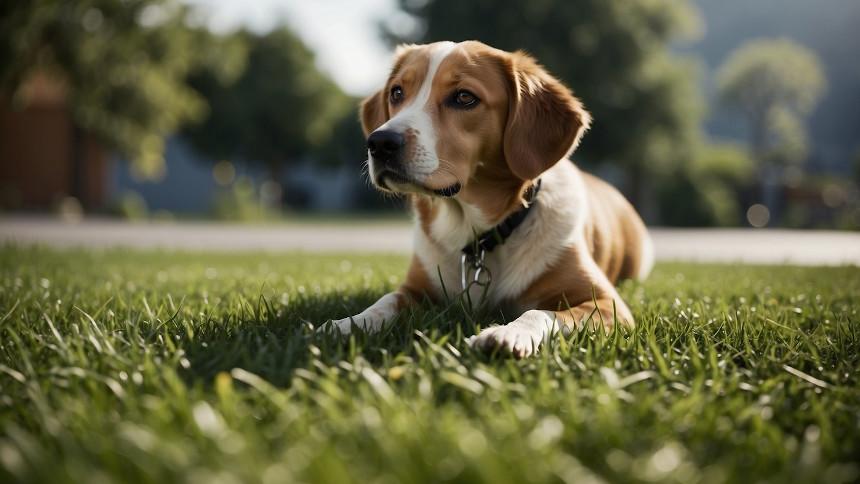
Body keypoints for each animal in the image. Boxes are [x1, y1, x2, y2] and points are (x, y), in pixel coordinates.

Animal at [322, 41, 652, 358]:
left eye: (464, 97)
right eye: (397, 92)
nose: (379, 142)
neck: (477, 234)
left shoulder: (607, 305)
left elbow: (539, 312)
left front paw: (507, 334)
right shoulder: (416, 290)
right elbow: (386, 302)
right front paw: (346, 324)